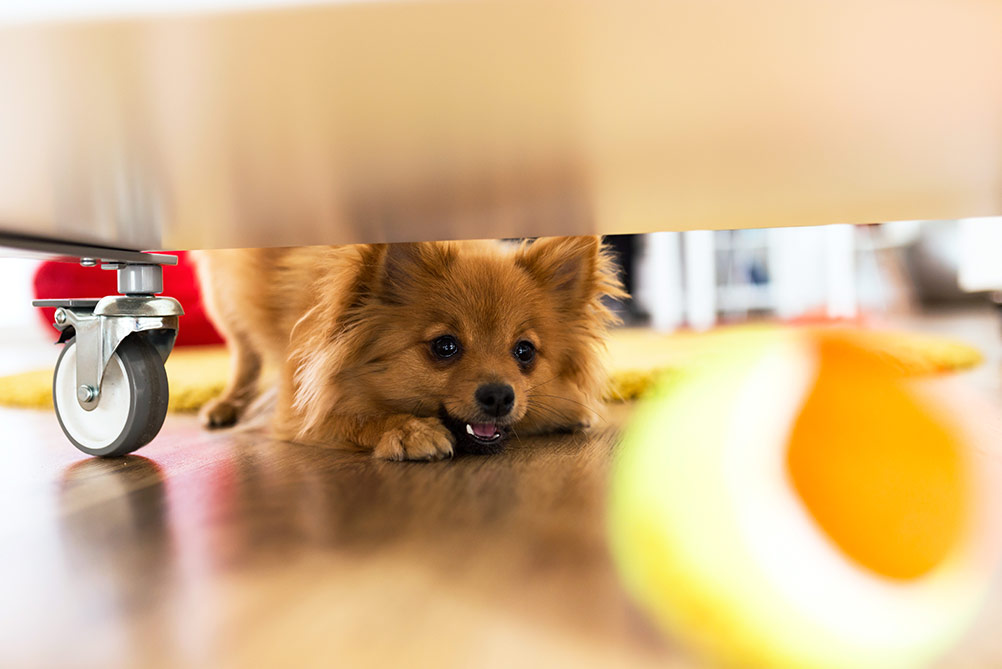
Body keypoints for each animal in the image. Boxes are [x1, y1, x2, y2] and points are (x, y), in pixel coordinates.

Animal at [191, 235, 621, 460]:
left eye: (525, 352)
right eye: (445, 346)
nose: (500, 396)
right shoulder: (300, 407)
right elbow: (351, 418)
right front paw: (407, 429)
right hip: (222, 303)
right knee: (244, 355)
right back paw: (225, 405)